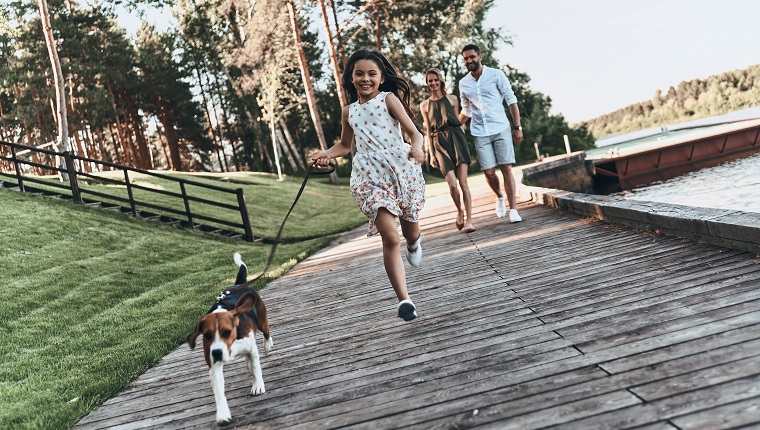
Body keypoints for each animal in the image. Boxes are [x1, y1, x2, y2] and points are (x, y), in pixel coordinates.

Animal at [186, 252, 274, 424]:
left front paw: (258, 386)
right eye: (207, 335)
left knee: (266, 332)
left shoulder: (251, 347)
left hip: (261, 321)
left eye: (226, 332)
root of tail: (238, 284)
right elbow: (219, 393)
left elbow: (257, 369)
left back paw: (267, 344)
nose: (217, 353)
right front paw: (222, 414)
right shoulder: (214, 367)